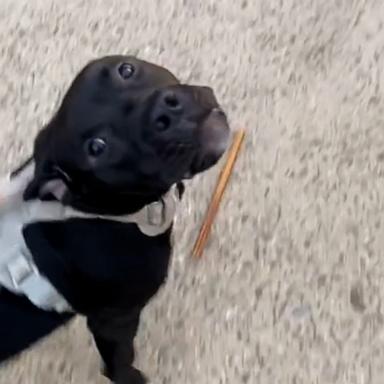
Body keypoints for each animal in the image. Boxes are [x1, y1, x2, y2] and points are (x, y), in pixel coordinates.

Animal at [0, 54, 228, 384]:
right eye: (97, 147)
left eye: (126, 70)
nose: (164, 112)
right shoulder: (114, 321)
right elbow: (120, 362)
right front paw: (132, 377)